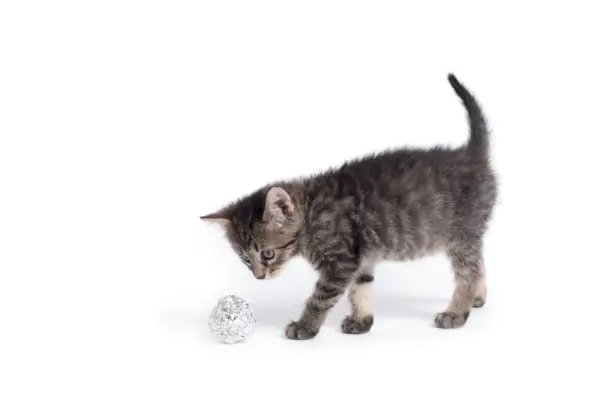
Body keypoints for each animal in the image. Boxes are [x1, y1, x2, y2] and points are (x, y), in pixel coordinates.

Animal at [202, 73, 496, 340]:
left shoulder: (340, 262)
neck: (311, 212)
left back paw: (457, 312)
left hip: (460, 234)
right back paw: (477, 298)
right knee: (480, 259)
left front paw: (305, 326)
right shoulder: (359, 259)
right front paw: (361, 320)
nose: (259, 277)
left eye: (267, 254)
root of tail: (471, 155)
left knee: (467, 272)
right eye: (244, 258)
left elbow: (320, 298)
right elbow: (361, 289)